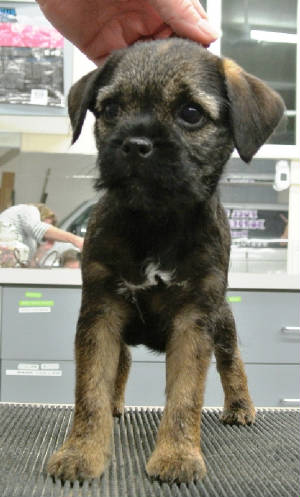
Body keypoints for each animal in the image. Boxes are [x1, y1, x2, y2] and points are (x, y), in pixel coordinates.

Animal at [47, 39, 284, 484]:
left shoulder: (194, 322)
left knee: (232, 360)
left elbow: (186, 396)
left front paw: (178, 455)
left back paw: (240, 405)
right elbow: (90, 388)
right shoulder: (101, 313)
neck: (156, 222)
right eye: (110, 110)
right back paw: (115, 405)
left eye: (191, 113)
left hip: (222, 321)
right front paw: (81, 452)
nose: (135, 143)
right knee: (120, 364)